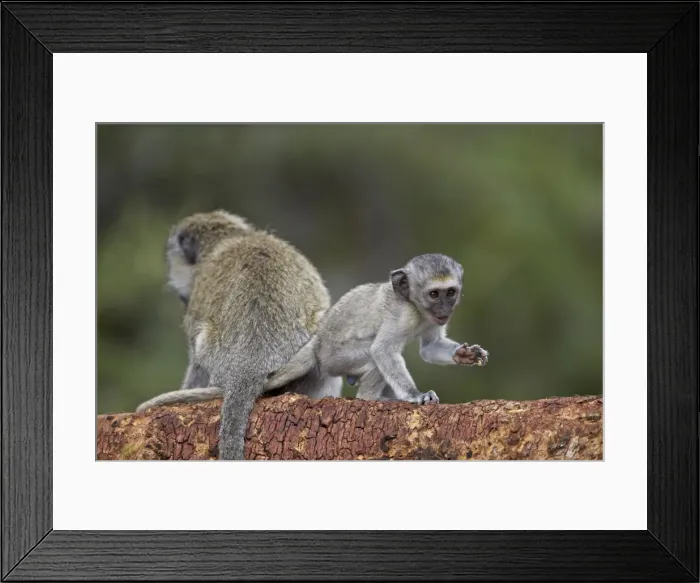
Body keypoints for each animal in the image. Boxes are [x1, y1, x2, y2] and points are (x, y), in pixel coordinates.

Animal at [264, 253, 489, 404]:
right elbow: (382, 349)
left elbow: (429, 348)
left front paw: (465, 354)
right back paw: (371, 399)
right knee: (373, 359)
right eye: (434, 294)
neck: (415, 306)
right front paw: (414, 396)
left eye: (450, 292)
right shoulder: (403, 315)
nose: (445, 309)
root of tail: (318, 343)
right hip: (337, 358)